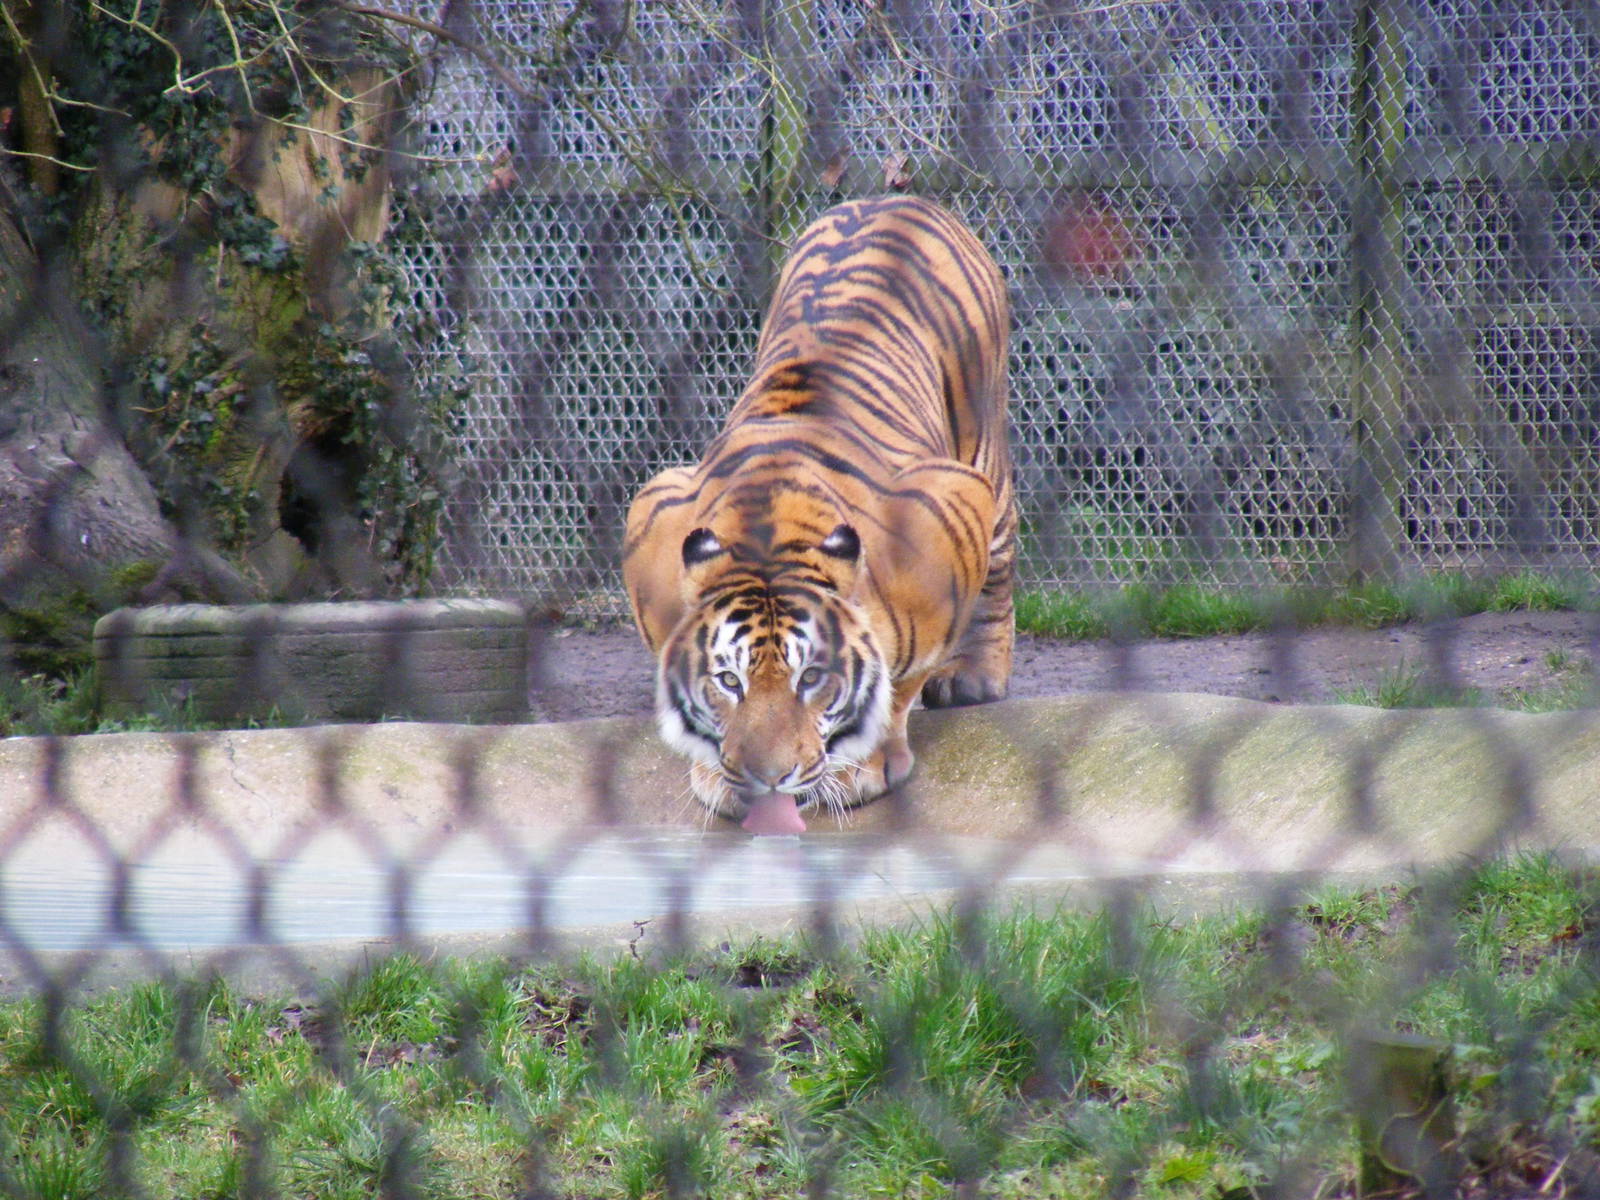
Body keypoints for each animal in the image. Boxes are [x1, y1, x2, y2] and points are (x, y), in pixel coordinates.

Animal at [622, 195, 1015, 834]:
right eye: (729, 680)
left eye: (812, 679)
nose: (766, 778)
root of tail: (897, 197)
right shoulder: (653, 513)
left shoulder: (954, 502)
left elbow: (897, 683)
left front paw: (862, 765)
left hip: (987, 460)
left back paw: (975, 676)